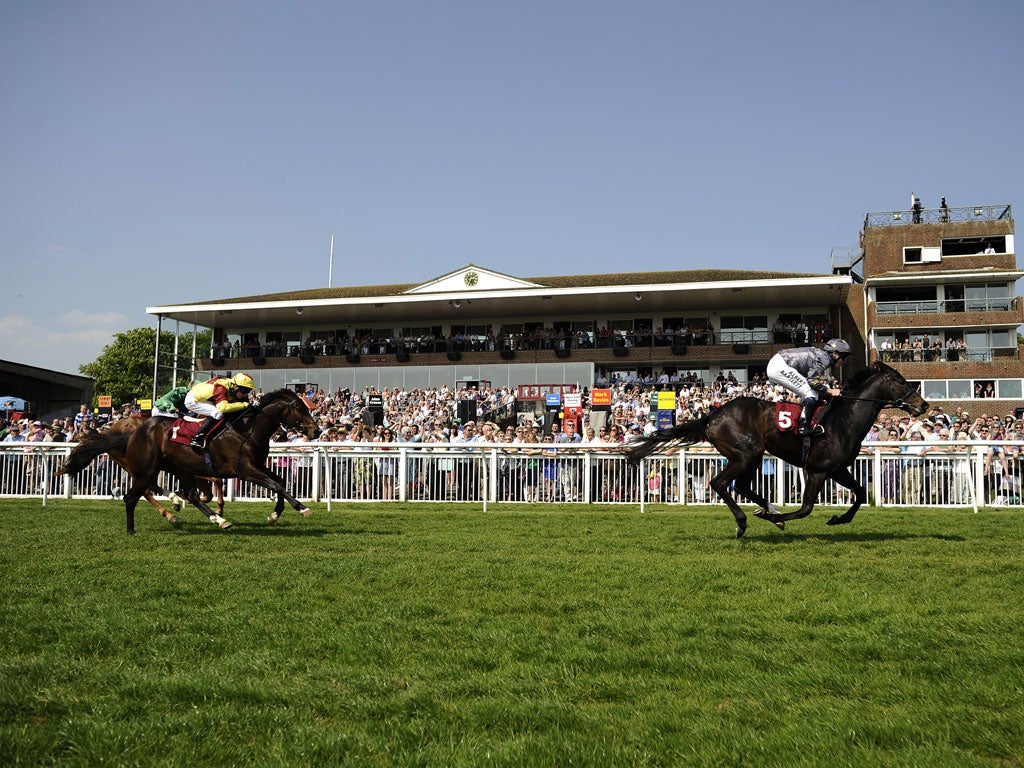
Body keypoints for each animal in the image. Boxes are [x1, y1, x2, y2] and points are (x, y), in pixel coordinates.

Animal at [61, 391, 317, 536]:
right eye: (300, 408)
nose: (315, 430)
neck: (247, 429)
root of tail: (130, 433)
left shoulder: (255, 466)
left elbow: (280, 481)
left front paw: (275, 514)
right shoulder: (244, 470)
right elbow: (276, 485)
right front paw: (302, 508)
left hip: (178, 467)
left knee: (188, 494)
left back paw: (216, 519)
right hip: (144, 468)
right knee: (135, 495)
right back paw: (134, 529)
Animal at [622, 364, 929, 536]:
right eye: (901, 381)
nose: (924, 405)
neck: (842, 420)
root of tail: (713, 416)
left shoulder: (838, 469)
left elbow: (861, 493)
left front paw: (838, 518)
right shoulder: (817, 470)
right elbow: (806, 508)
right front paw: (777, 518)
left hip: (752, 456)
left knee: (741, 486)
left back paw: (766, 508)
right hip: (746, 453)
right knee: (720, 483)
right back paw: (745, 521)